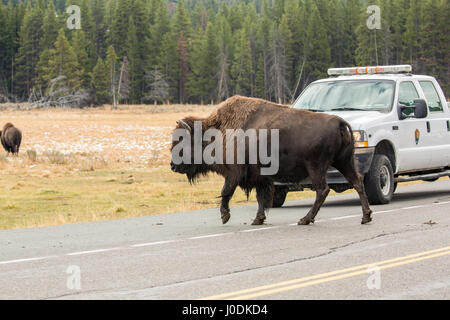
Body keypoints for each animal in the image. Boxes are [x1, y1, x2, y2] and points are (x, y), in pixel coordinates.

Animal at [170, 96, 372, 226]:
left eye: (182, 141)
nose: (172, 165)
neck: (217, 131)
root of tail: (339, 122)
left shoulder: (234, 173)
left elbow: (226, 192)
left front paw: (225, 217)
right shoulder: (260, 177)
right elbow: (262, 198)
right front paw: (257, 220)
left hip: (316, 167)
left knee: (322, 190)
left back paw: (305, 220)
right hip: (343, 162)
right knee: (357, 182)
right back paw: (366, 217)